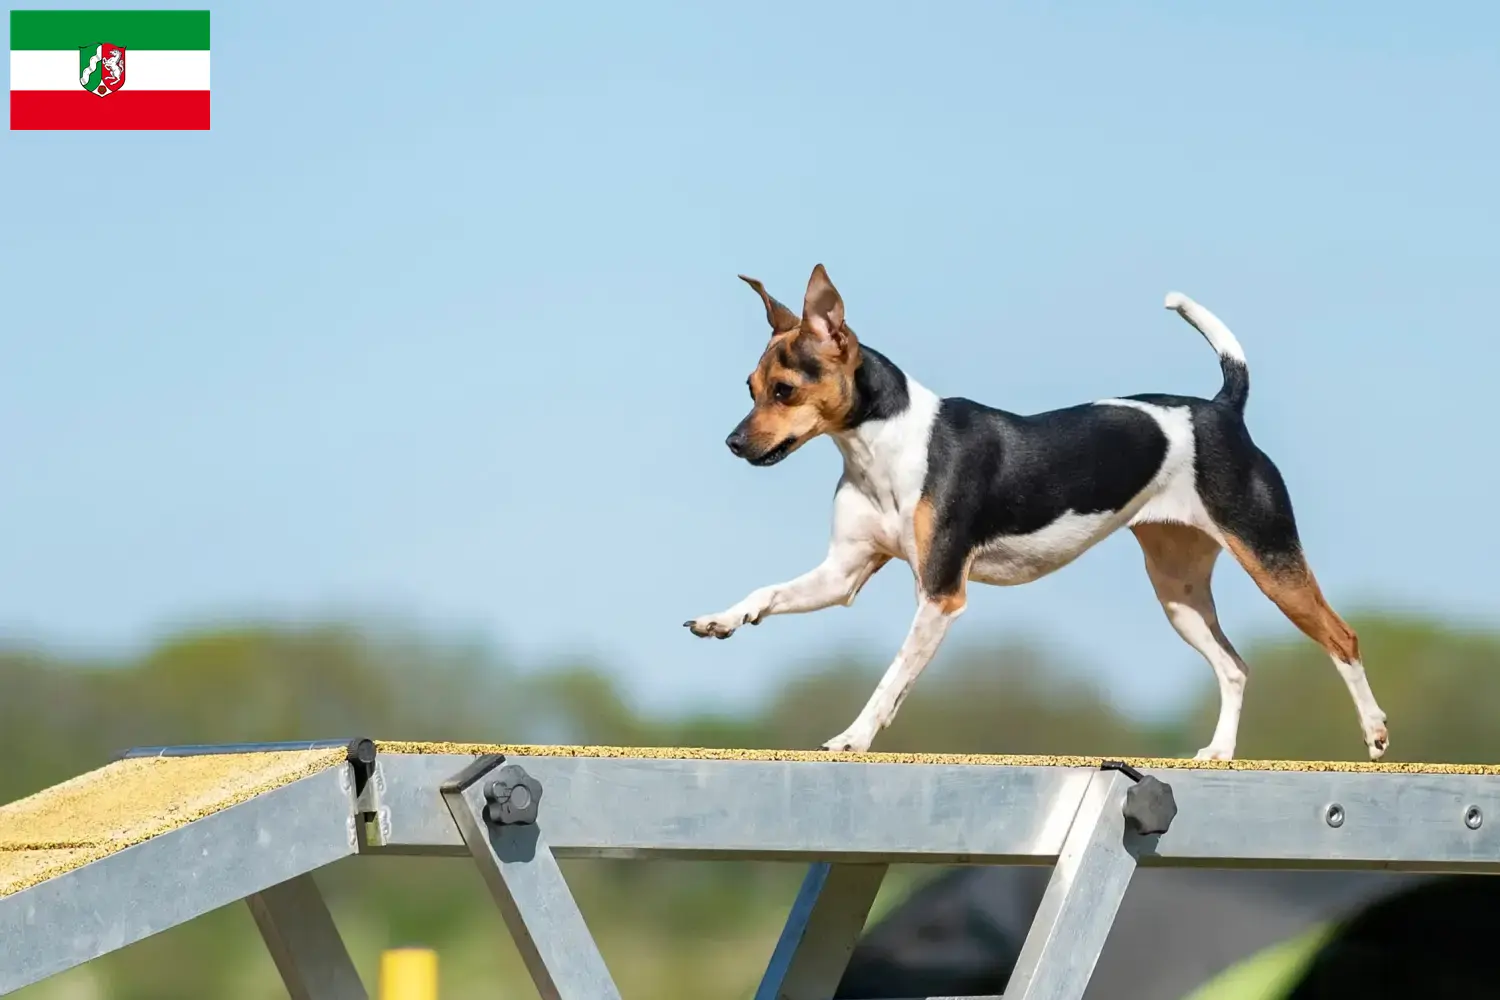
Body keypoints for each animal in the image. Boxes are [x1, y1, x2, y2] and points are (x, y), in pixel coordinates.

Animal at [687, 262, 1386, 761]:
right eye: (749, 389)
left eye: (784, 391)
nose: (732, 443)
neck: (884, 447)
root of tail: (1221, 408)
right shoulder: (843, 574)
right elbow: (768, 593)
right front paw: (722, 619)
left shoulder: (940, 594)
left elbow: (890, 679)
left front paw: (854, 738)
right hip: (1178, 590)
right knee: (1235, 666)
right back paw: (1218, 751)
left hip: (1270, 557)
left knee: (1342, 638)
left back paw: (1376, 734)